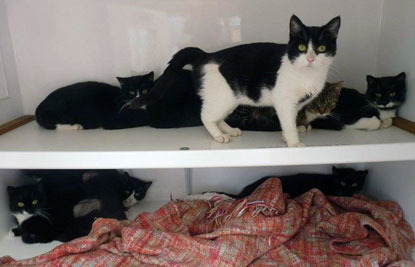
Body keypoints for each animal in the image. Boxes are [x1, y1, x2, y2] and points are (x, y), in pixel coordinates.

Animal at [6, 171, 152, 244]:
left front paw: (24, 235)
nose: (28, 209)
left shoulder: (51, 229)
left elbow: (30, 237)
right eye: (20, 203)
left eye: (35, 201)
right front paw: (14, 231)